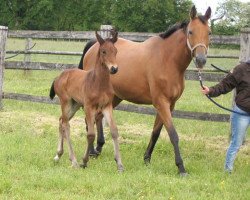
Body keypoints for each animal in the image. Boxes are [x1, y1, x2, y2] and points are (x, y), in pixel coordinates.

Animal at [49, 30, 123, 171]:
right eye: (103, 51)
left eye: (116, 51)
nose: (114, 69)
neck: (98, 83)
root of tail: (59, 76)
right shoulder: (89, 107)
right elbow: (91, 134)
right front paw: (84, 161)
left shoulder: (107, 106)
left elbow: (114, 131)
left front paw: (120, 164)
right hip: (65, 102)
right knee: (66, 124)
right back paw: (74, 161)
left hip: (75, 105)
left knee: (61, 120)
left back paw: (58, 155)